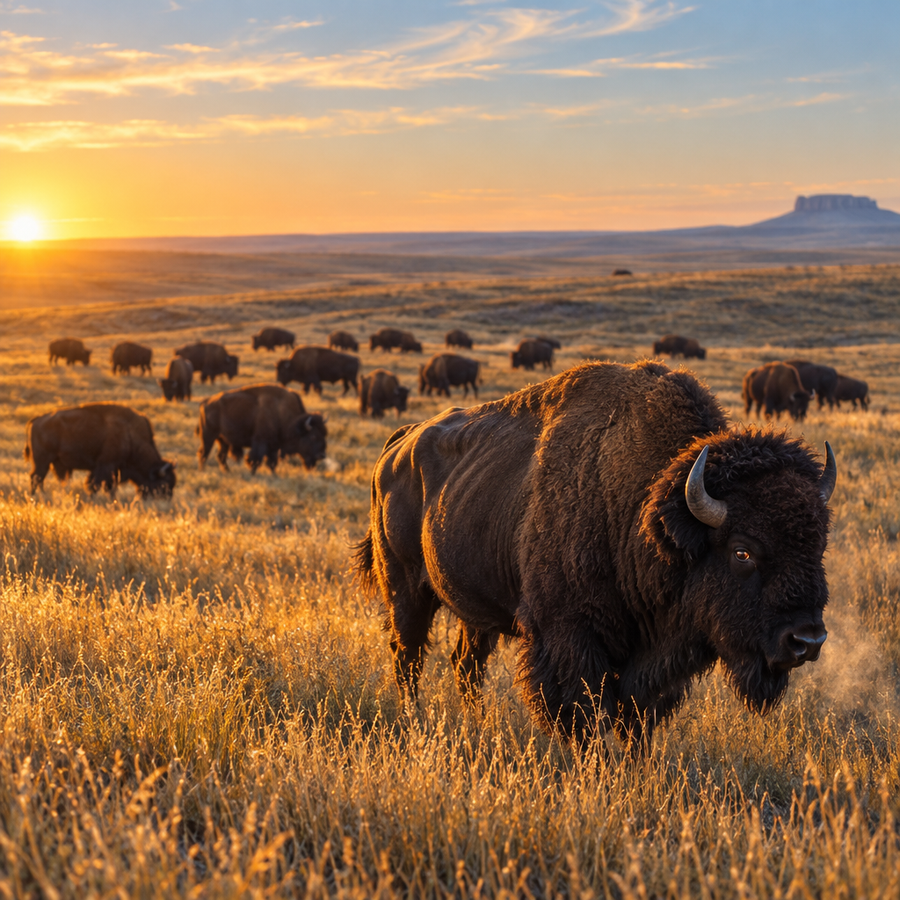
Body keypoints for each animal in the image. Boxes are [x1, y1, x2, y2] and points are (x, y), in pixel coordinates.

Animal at [25, 403, 176, 499]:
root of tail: (37, 419)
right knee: (36, 477)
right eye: (164, 483)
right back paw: (34, 496)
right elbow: (96, 485)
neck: (130, 435)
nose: (166, 500)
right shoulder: (106, 465)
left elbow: (109, 486)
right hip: (42, 460)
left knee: (39, 478)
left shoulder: (113, 468)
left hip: (50, 462)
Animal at [197, 384, 327, 474]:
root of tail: (206, 402)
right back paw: (202, 470)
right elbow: (256, 459)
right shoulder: (261, 442)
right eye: (313, 436)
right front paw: (253, 473)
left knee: (220, 456)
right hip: (208, 436)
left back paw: (227, 471)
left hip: (223, 440)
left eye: (324, 435)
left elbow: (272, 462)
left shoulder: (274, 446)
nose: (322, 455)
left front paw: (274, 475)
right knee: (204, 453)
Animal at [355, 360, 836, 750]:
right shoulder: (569, 639)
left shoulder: (650, 662)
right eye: (742, 552)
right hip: (405, 588)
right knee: (408, 656)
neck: (645, 510)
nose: (807, 640)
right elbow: (583, 717)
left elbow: (637, 720)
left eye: (818, 545)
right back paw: (414, 721)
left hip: (478, 610)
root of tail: (397, 445)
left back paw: (479, 722)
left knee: (465, 664)